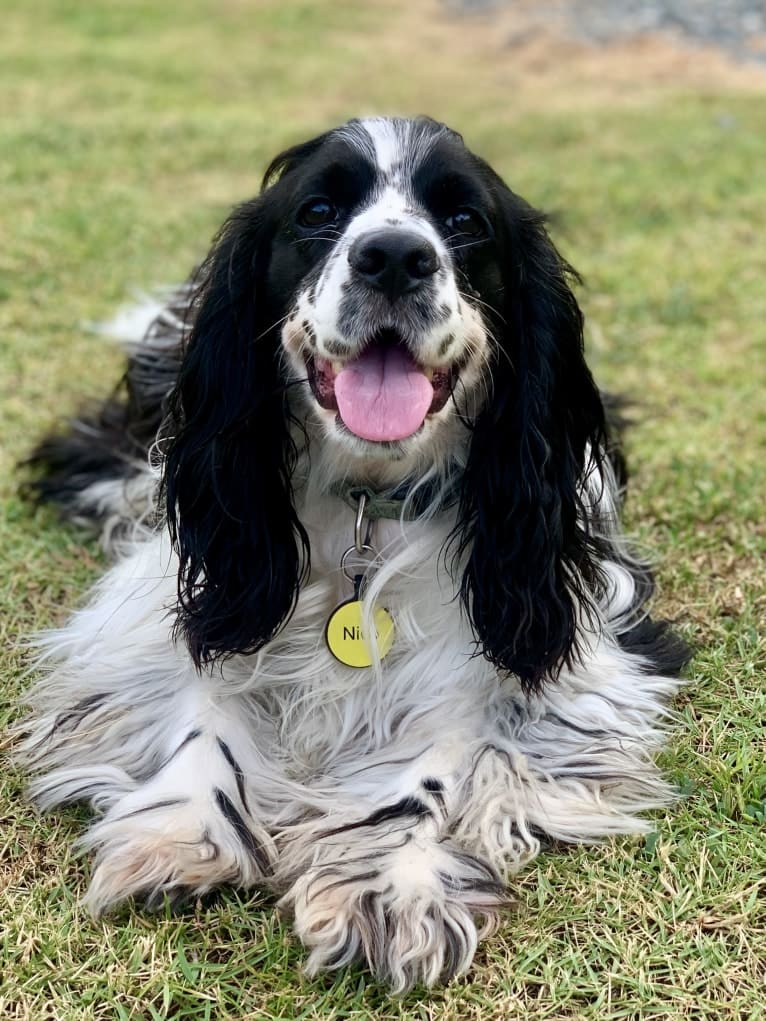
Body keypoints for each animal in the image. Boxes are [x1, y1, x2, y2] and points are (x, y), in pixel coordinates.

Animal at [16, 117, 690, 988]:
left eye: (464, 221)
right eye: (318, 211)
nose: (395, 256)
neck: (369, 497)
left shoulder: (552, 649)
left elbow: (440, 752)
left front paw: (386, 882)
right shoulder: (187, 597)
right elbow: (204, 702)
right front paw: (182, 829)